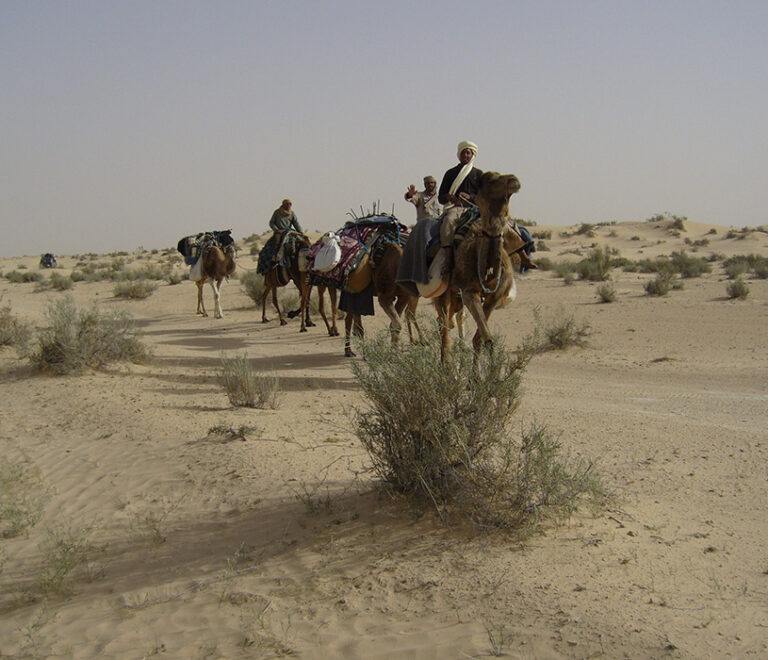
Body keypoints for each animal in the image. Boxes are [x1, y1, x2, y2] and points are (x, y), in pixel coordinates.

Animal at [432, 168, 520, 358]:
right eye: (489, 179)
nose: (514, 180)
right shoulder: (469, 292)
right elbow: (488, 338)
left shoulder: (495, 297)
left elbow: (481, 339)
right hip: (444, 291)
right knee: (444, 333)